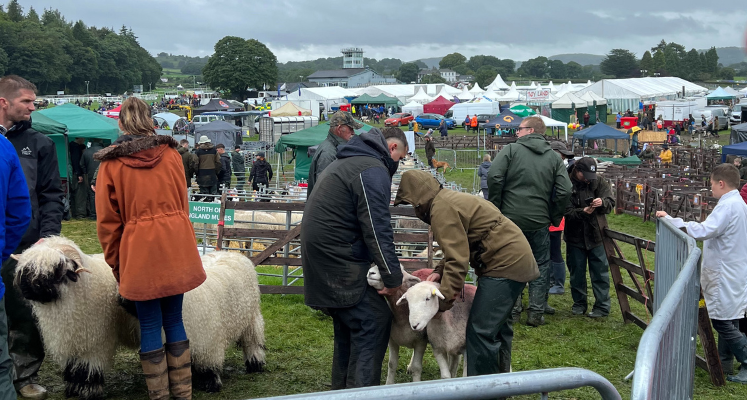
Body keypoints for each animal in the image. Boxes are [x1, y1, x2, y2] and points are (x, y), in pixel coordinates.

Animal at [11, 238, 266, 400]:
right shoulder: (75, 339)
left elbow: (88, 368)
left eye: (56, 269)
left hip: (251, 320)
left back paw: (256, 364)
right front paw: (73, 389)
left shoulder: (94, 342)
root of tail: (232, 253)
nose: (29, 287)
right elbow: (75, 368)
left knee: (253, 342)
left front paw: (87, 391)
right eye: (25, 268)